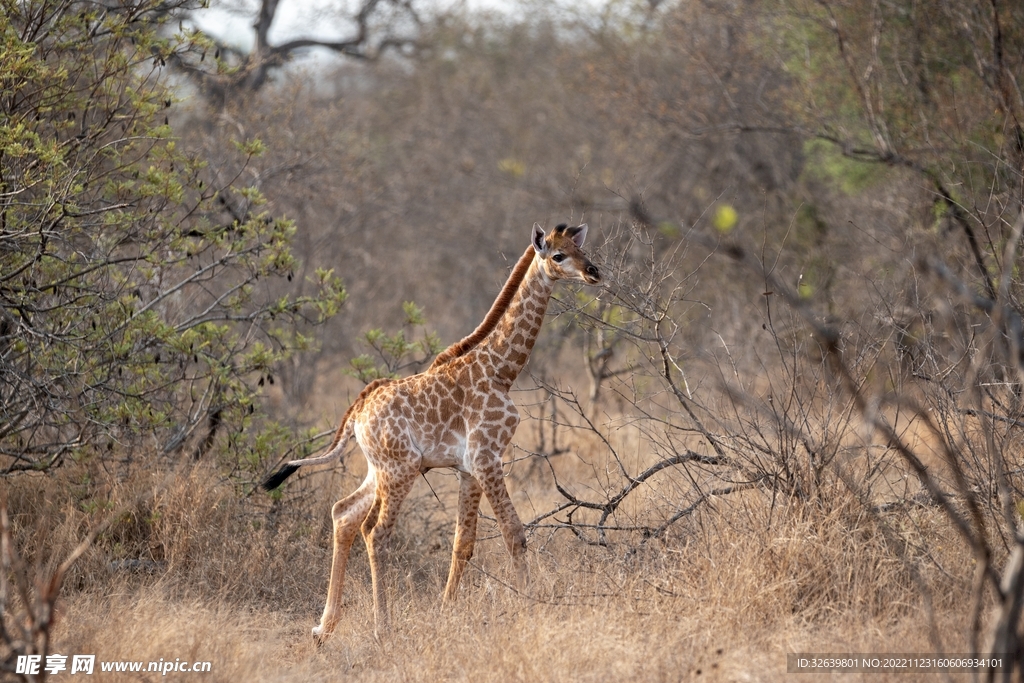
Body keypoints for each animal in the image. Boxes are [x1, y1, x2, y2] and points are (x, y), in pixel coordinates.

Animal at [262, 223, 598, 643]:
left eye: (582, 249)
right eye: (558, 255)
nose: (594, 272)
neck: (501, 370)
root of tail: (357, 411)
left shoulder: (468, 467)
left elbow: (463, 542)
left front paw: (445, 612)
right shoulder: (488, 457)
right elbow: (514, 534)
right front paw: (533, 609)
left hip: (381, 469)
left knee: (344, 513)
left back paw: (324, 627)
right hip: (399, 470)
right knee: (376, 532)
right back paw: (382, 628)